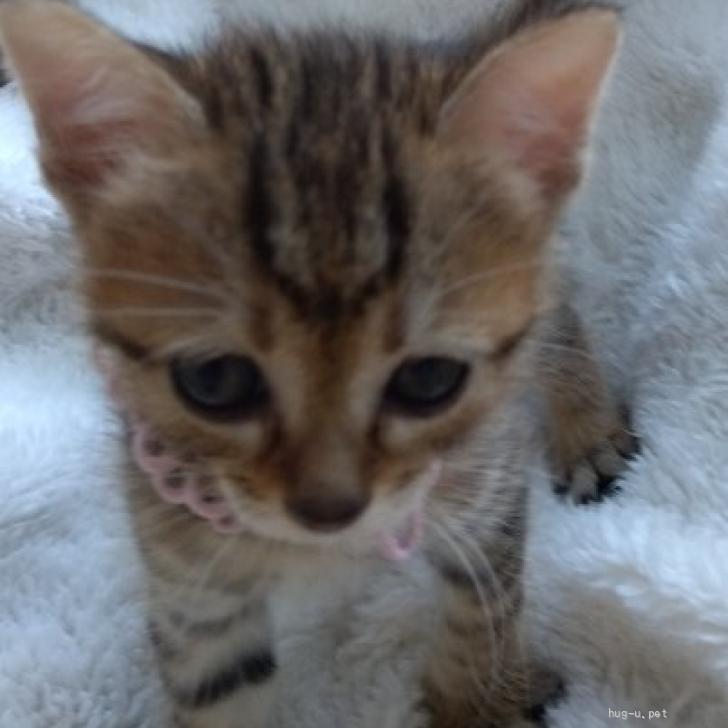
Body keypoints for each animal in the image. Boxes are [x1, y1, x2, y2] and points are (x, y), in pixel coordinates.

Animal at [0, 1, 628, 726]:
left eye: (430, 380)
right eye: (215, 381)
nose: (329, 510)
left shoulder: (487, 489)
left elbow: (484, 612)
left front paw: (478, 701)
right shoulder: (190, 585)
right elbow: (217, 692)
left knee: (558, 306)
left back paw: (586, 428)